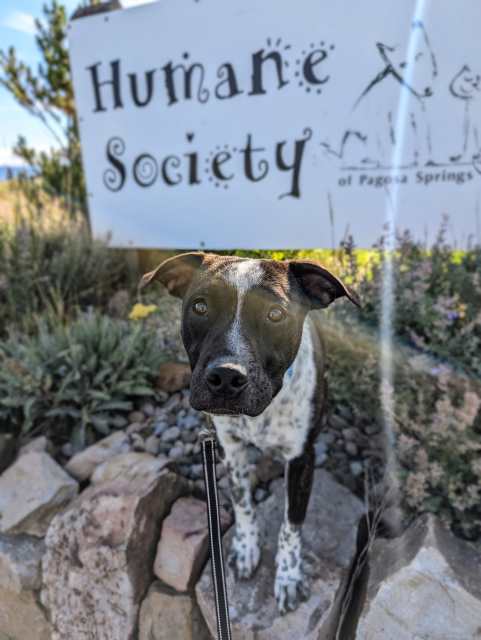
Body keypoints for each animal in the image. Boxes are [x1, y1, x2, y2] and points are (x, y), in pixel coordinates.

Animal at [141, 251, 358, 616]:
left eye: (275, 314)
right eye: (200, 306)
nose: (226, 377)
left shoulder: (302, 459)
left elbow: (291, 523)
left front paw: (288, 577)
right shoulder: (232, 450)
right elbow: (242, 502)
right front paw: (245, 549)